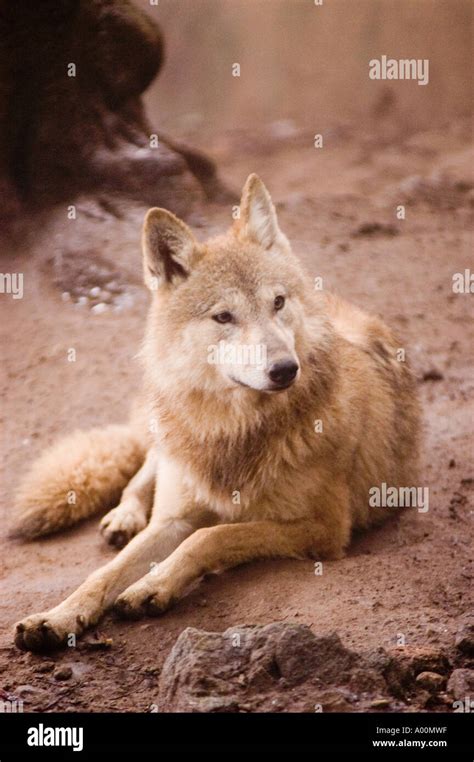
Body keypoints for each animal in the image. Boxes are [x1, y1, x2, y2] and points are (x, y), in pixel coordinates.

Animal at [12, 175, 418, 652]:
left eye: (278, 302)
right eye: (223, 316)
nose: (285, 369)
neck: (232, 430)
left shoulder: (324, 527)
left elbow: (210, 536)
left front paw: (153, 585)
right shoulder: (176, 517)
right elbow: (105, 572)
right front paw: (58, 617)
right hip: (166, 440)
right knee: (139, 474)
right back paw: (124, 518)